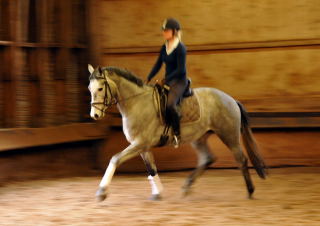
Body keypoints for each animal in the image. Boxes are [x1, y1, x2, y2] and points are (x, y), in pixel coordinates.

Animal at [86, 63, 266, 201]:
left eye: (100, 88)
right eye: (89, 88)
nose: (95, 115)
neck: (137, 103)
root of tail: (231, 99)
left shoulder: (140, 144)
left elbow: (115, 159)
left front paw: (101, 192)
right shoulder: (142, 146)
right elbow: (151, 169)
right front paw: (157, 193)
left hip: (228, 135)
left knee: (241, 159)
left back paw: (250, 191)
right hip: (199, 137)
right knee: (207, 158)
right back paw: (187, 187)